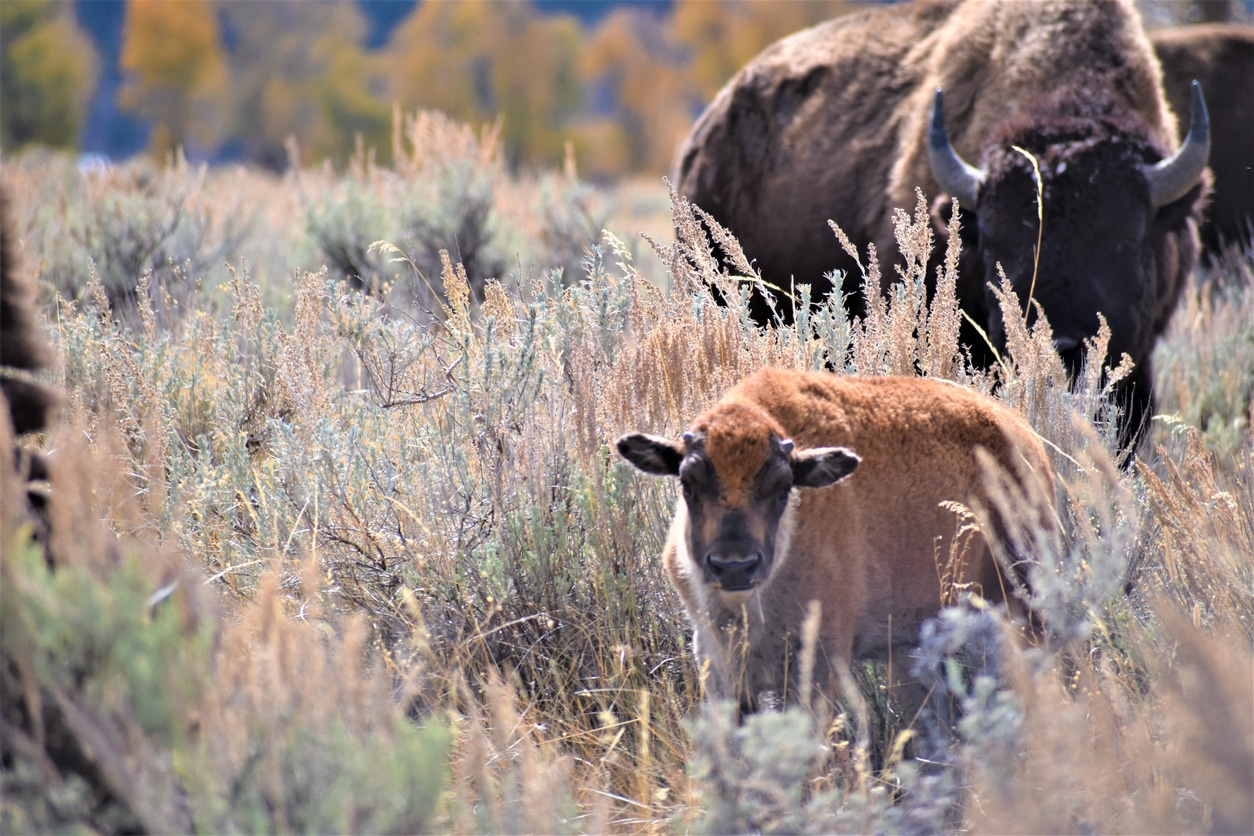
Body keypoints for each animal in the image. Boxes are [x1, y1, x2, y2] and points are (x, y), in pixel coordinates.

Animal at [616, 368, 1056, 715]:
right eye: (688, 485)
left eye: (783, 489)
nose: (734, 566)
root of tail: (1027, 440)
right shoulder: (719, 663)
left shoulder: (818, 663)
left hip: (1021, 607)